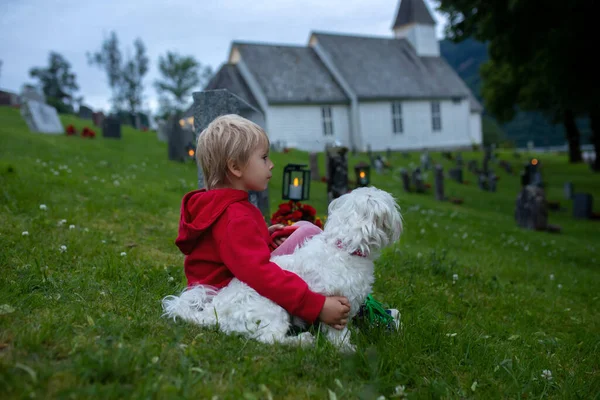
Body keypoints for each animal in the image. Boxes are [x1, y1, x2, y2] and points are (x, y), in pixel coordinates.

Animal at [162, 186, 404, 352]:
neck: (344, 246)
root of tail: (213, 314)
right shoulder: (339, 305)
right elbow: (338, 333)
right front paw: (346, 348)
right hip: (274, 309)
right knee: (269, 339)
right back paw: (302, 341)